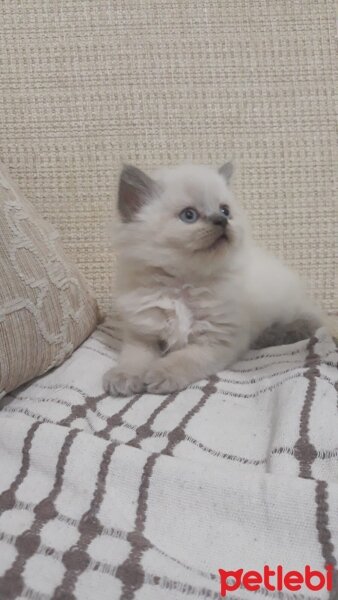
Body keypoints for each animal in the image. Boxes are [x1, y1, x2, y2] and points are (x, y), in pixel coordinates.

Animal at [102, 163, 322, 394]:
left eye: (225, 210)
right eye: (189, 215)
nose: (222, 220)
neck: (183, 285)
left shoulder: (217, 340)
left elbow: (183, 359)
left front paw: (160, 375)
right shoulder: (142, 334)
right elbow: (134, 359)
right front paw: (123, 377)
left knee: (308, 322)